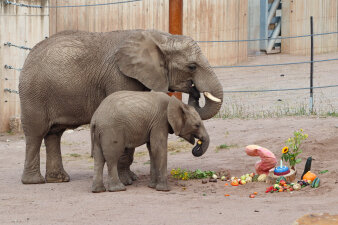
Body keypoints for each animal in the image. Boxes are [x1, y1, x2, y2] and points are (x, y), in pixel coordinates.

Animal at [19, 29, 224, 185]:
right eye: (192, 67)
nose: (195, 90)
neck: (159, 37)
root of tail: (28, 56)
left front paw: (130, 178)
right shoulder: (119, 77)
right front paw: (127, 181)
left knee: (54, 134)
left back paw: (59, 179)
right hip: (33, 94)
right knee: (36, 134)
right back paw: (34, 181)